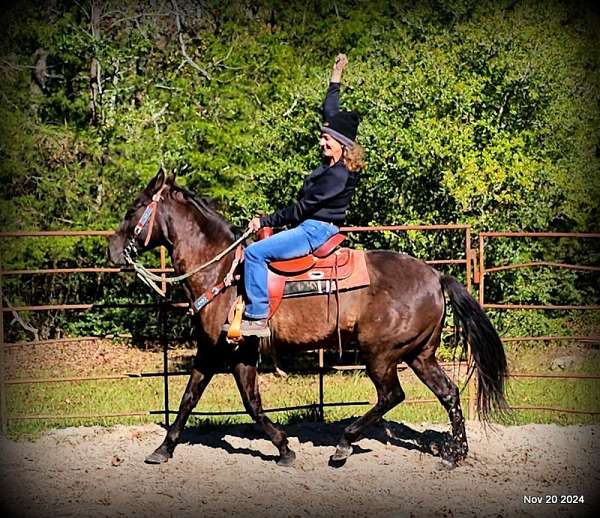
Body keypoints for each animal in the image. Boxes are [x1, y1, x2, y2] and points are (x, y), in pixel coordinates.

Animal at [106, 169, 506, 470]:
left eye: (135, 207)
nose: (112, 250)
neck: (222, 269)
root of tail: (436, 276)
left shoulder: (236, 353)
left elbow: (250, 404)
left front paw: (284, 449)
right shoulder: (213, 350)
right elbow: (191, 398)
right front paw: (163, 449)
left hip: (381, 354)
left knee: (392, 394)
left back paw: (344, 444)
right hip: (419, 354)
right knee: (448, 392)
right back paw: (456, 454)